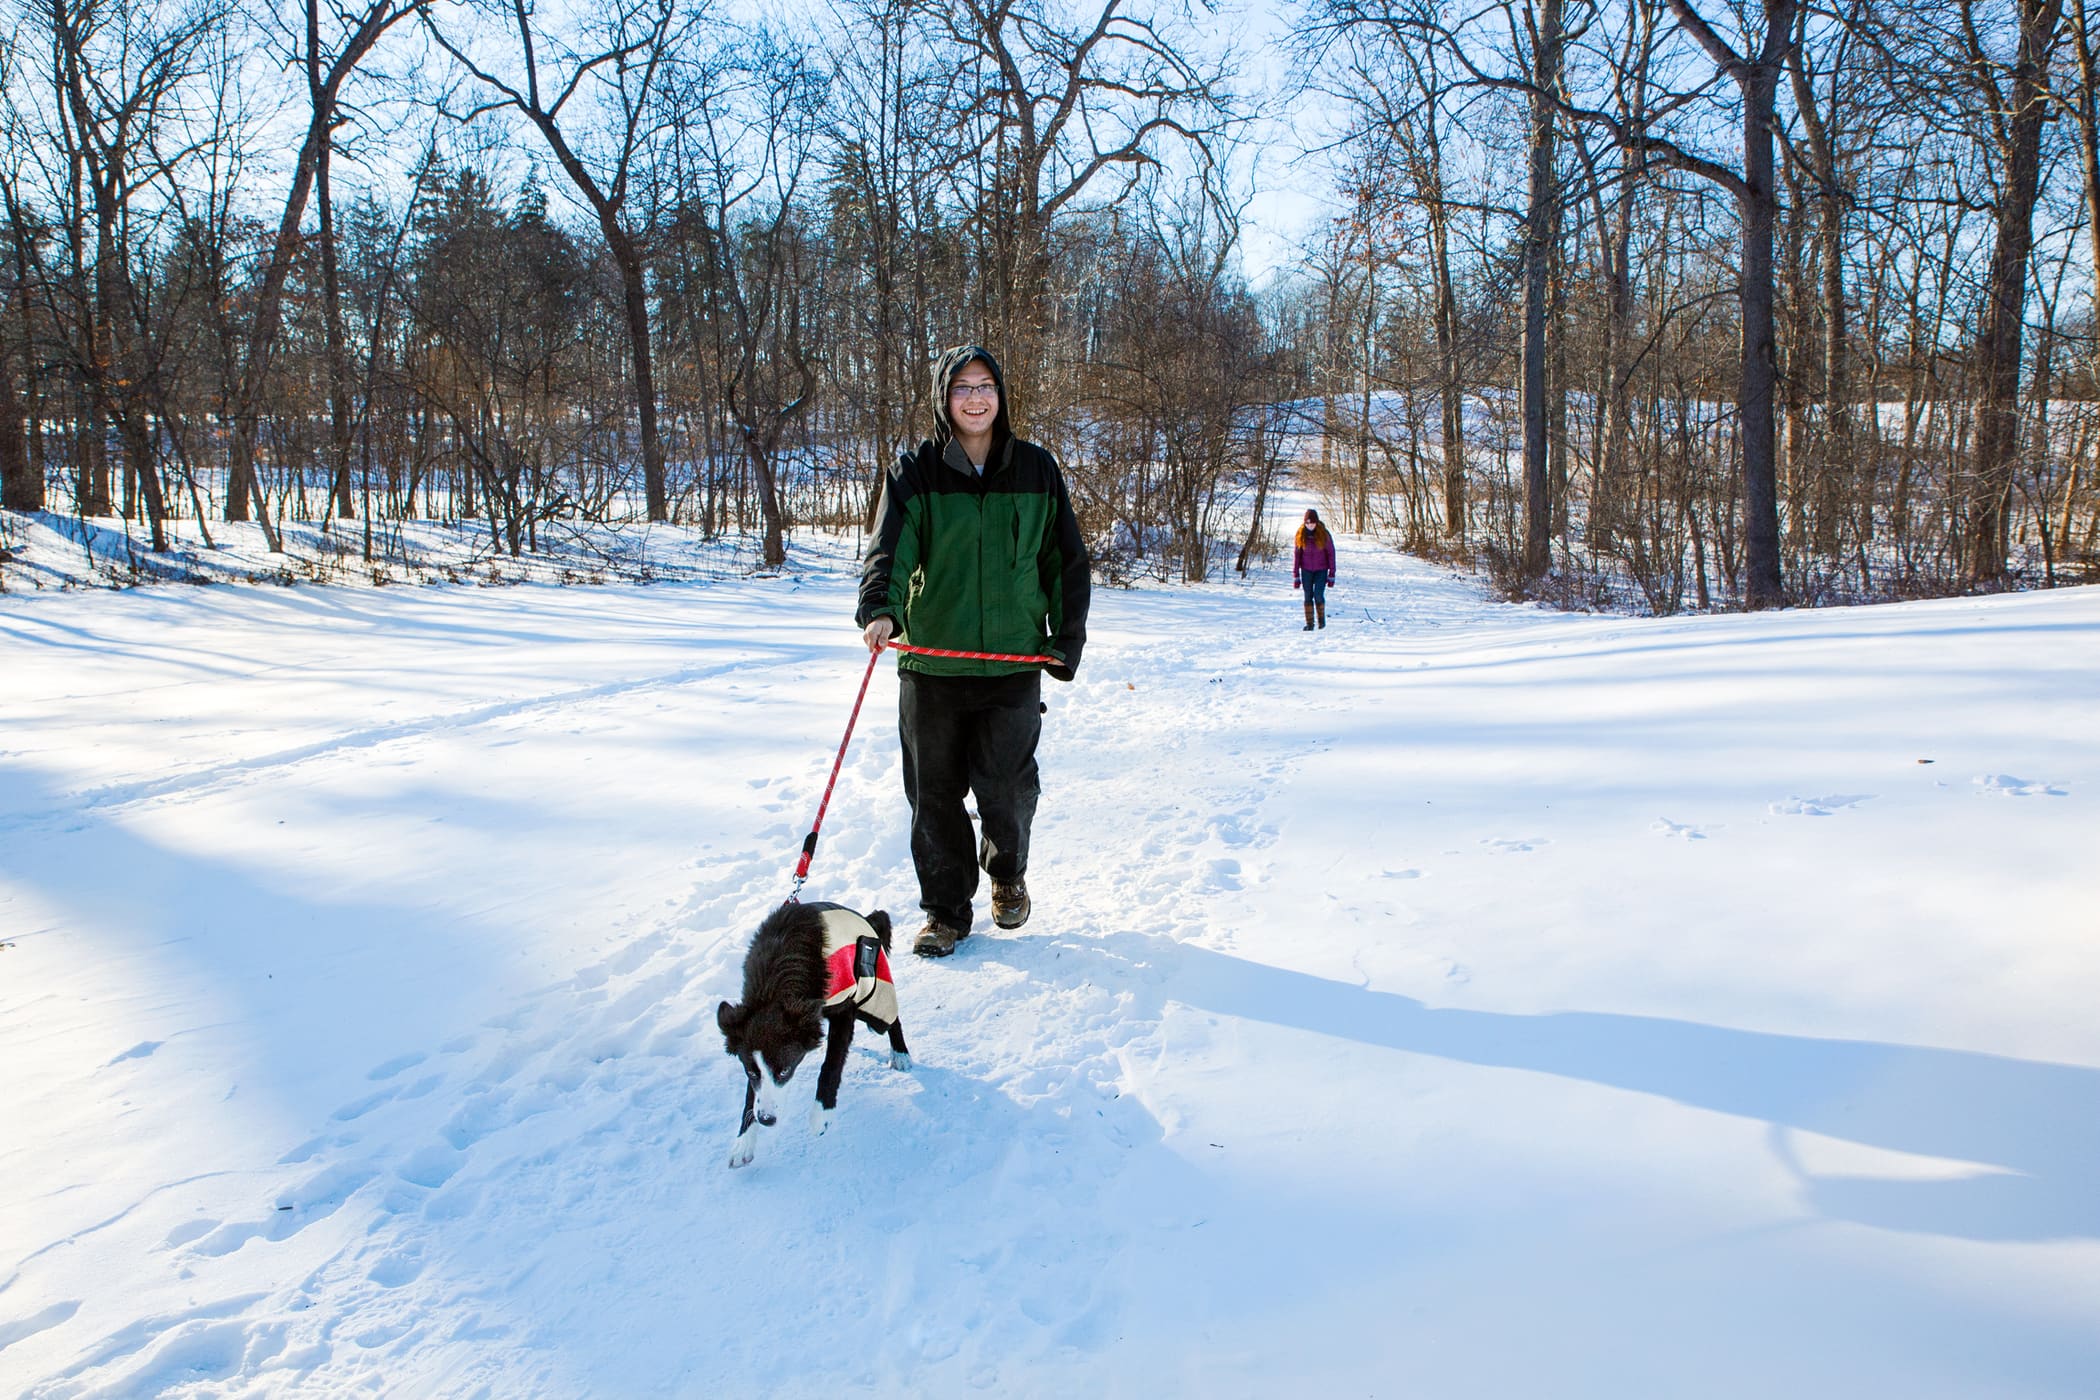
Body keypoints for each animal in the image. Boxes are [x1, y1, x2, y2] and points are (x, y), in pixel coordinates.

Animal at [718, 902, 907, 1167]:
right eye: (750, 1072)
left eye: (785, 1071)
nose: (767, 1119)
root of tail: (868, 918)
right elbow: (751, 1093)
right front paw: (743, 1142)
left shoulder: (845, 1008)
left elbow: (832, 1064)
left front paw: (821, 1114)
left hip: (873, 995)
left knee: (891, 1019)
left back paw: (900, 1053)